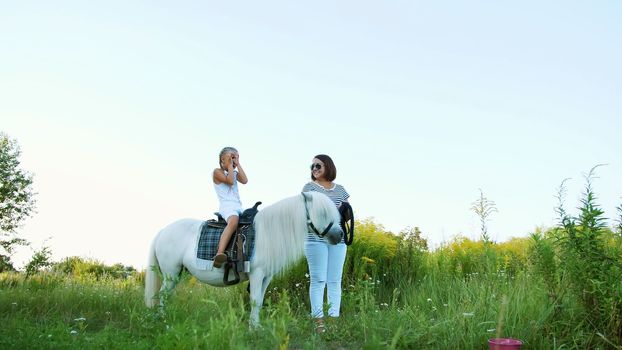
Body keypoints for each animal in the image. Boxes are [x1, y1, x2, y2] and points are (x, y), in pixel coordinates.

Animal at [144, 191, 344, 326]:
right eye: (323, 213)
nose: (340, 235)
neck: (267, 232)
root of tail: (162, 231)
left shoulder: (266, 277)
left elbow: (260, 301)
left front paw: (257, 327)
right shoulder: (257, 274)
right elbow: (255, 300)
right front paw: (252, 329)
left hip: (175, 274)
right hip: (171, 273)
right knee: (162, 295)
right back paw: (164, 321)